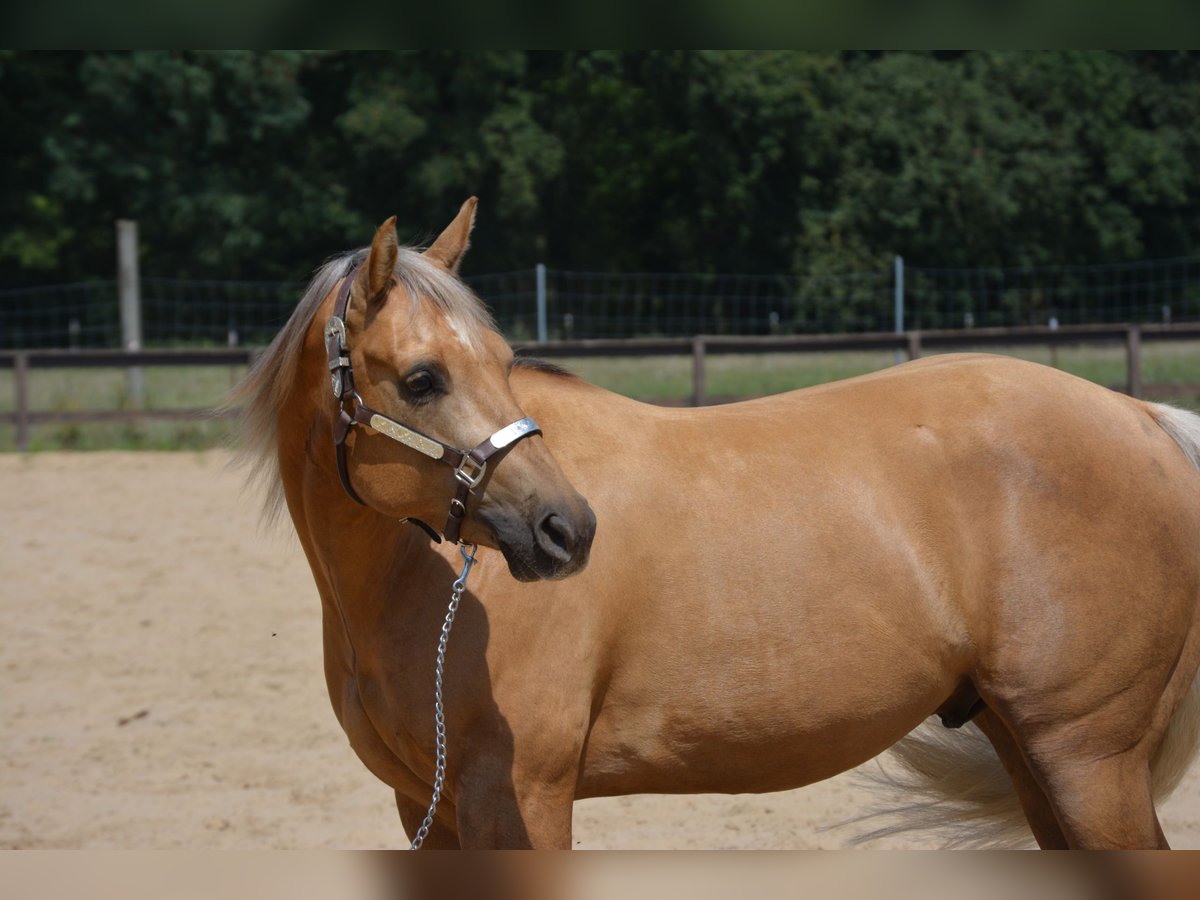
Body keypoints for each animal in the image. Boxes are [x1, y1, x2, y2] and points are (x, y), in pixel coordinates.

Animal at [231, 200, 1200, 849]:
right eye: (423, 378)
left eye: (504, 362)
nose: (565, 529)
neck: (409, 592)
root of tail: (1145, 418)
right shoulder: (425, 809)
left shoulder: (520, 797)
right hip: (1031, 754)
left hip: (1087, 761)